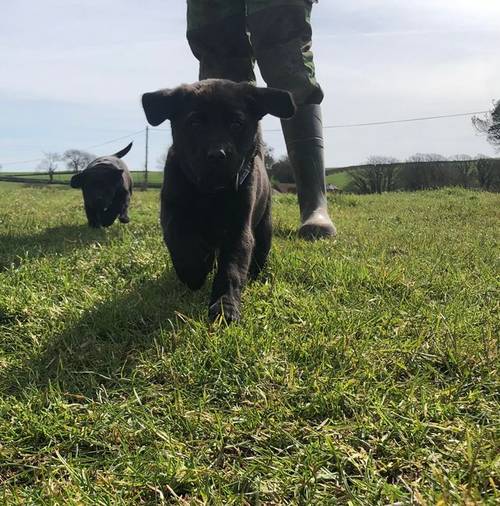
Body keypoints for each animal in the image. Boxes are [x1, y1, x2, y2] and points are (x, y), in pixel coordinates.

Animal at [143, 80, 294, 322]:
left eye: (236, 123)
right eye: (195, 122)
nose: (217, 154)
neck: (210, 192)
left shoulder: (239, 228)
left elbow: (231, 269)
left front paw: (225, 307)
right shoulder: (172, 209)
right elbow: (180, 239)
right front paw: (194, 272)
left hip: (265, 226)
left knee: (259, 253)